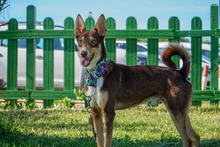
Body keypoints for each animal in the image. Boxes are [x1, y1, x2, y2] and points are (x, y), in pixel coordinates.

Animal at [75, 14, 200, 147]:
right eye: (80, 41)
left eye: (93, 42)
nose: (83, 53)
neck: (97, 74)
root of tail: (181, 73)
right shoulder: (96, 112)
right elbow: (100, 140)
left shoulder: (108, 113)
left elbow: (107, 141)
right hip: (179, 112)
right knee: (195, 137)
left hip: (176, 111)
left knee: (187, 139)